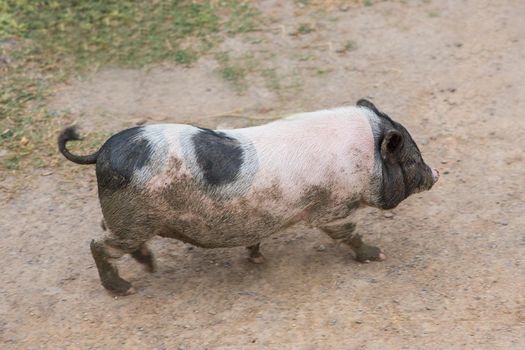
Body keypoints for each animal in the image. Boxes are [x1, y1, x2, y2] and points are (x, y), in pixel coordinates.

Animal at [58, 100, 438, 294]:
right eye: (411, 158)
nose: (436, 173)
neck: (364, 158)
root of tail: (101, 152)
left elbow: (256, 236)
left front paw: (256, 258)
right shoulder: (332, 207)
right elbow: (348, 233)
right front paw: (377, 254)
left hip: (129, 220)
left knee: (108, 231)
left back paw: (149, 267)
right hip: (133, 220)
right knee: (98, 243)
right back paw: (124, 288)